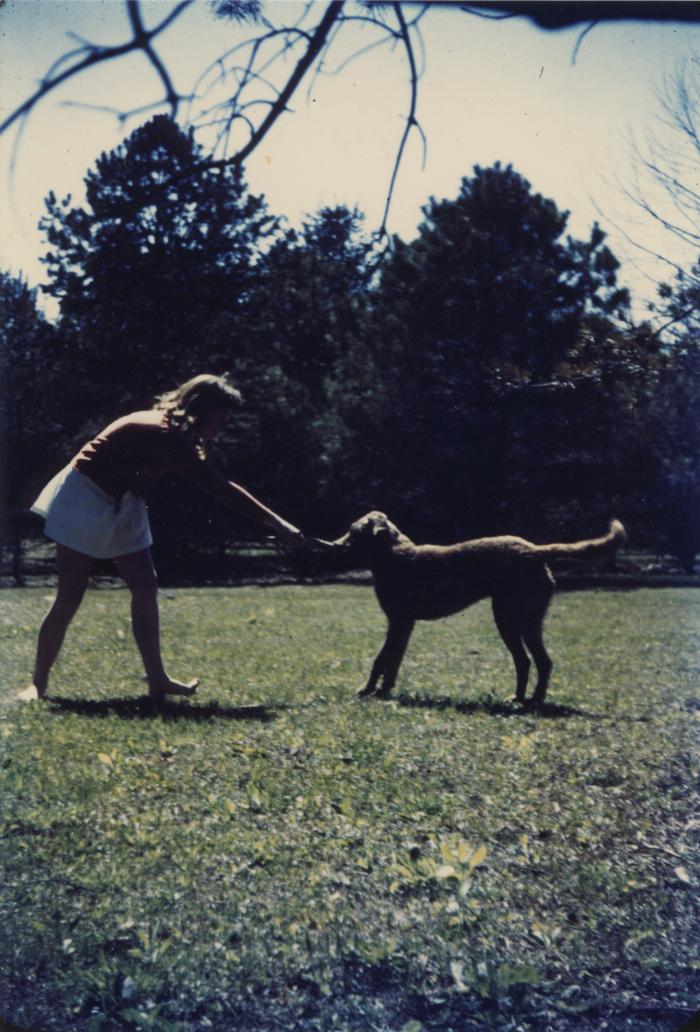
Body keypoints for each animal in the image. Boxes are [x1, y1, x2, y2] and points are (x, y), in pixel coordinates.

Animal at [320, 511, 627, 705]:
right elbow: (391, 662)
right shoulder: (404, 625)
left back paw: (519, 700)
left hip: (507, 618)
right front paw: (383, 691)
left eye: (353, 531)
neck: (392, 555)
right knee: (543, 661)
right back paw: (533, 700)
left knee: (525, 661)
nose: (332, 545)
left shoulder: (398, 622)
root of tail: (534, 550)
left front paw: (368, 690)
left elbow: (380, 659)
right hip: (529, 622)